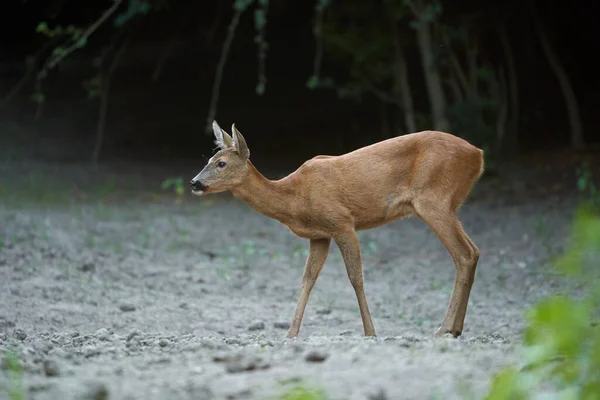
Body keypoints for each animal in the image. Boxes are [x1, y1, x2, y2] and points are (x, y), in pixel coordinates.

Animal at [190, 121, 486, 338]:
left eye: (221, 164)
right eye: (208, 159)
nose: (194, 182)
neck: (294, 198)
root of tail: (478, 155)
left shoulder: (342, 222)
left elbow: (356, 277)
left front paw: (370, 332)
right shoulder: (320, 235)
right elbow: (307, 279)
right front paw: (291, 333)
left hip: (433, 199)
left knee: (463, 254)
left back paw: (444, 328)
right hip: (447, 203)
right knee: (473, 251)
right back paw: (456, 329)